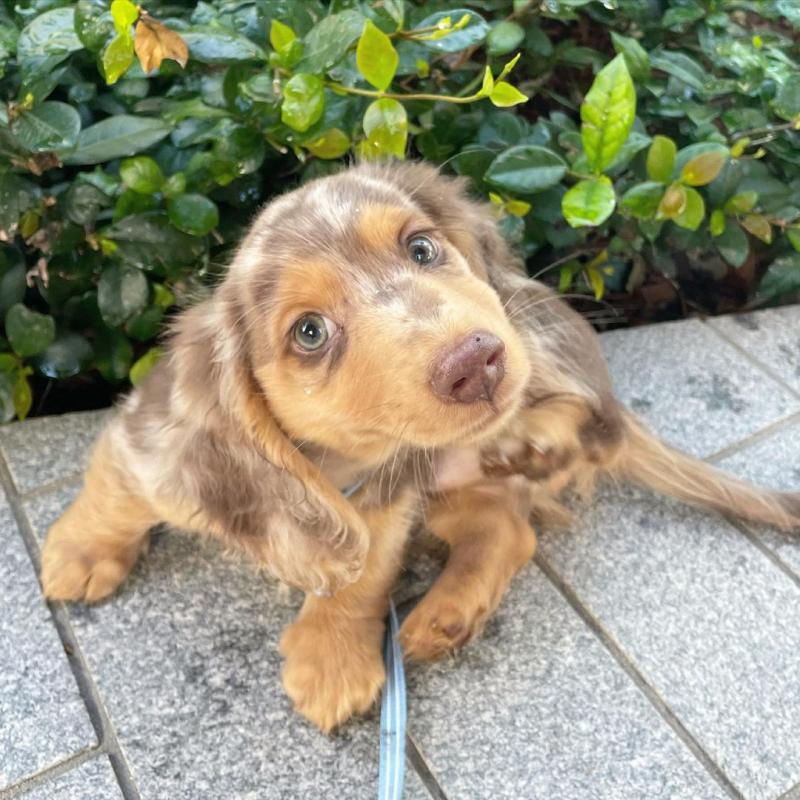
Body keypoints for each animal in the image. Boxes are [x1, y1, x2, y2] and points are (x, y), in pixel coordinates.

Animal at [42, 161, 800, 732]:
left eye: (421, 248)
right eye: (309, 332)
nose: (477, 363)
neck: (340, 467)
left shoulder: (388, 498)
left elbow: (363, 574)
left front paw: (331, 658)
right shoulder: (151, 443)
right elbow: (116, 493)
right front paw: (80, 553)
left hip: (534, 339)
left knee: (583, 428)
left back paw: (533, 441)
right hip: (454, 472)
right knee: (509, 527)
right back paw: (448, 611)